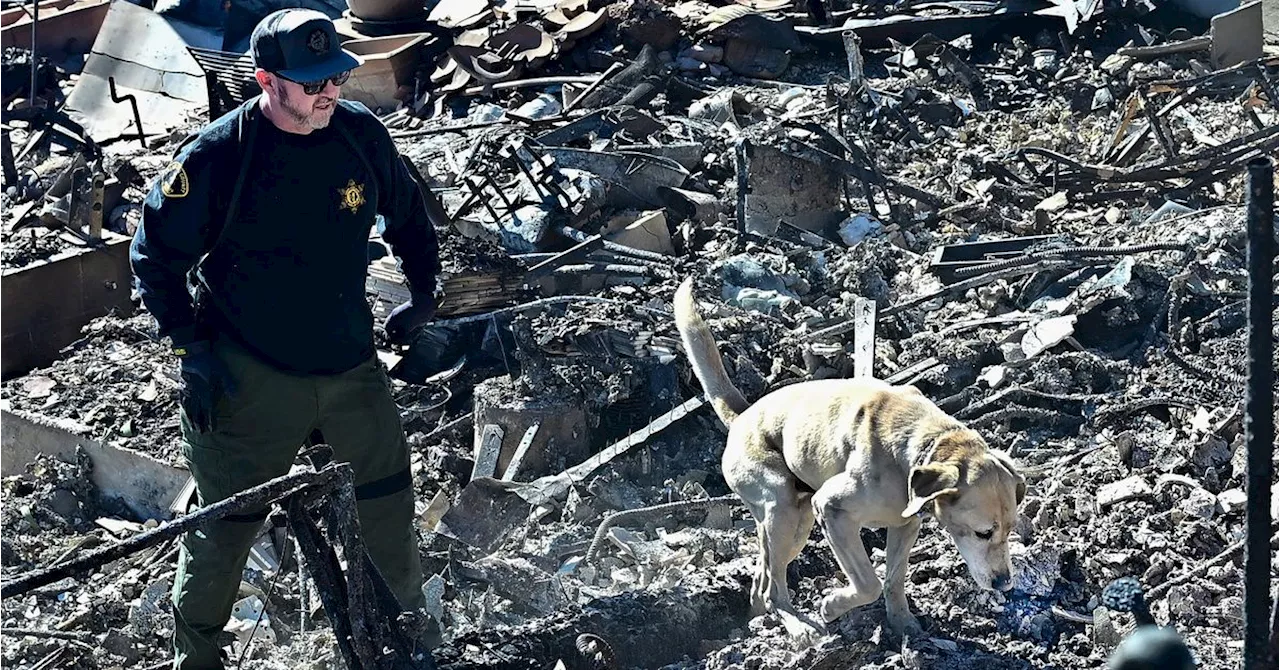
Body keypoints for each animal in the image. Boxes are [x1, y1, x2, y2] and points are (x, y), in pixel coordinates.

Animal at [675, 279, 1024, 645]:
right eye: (983, 533)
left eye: (1011, 529)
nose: (1004, 583)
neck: (919, 447)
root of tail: (741, 417)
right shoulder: (832, 510)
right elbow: (869, 583)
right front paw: (832, 605)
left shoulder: (905, 525)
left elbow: (894, 579)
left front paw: (901, 622)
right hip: (785, 508)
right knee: (774, 588)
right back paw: (799, 625)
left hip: (789, 522)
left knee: (763, 580)